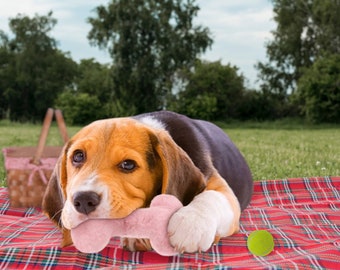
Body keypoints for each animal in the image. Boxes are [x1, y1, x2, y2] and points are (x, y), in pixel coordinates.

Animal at [41, 109, 252, 253]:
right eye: (77, 156)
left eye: (128, 164)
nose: (84, 200)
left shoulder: (221, 188)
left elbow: (211, 197)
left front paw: (190, 225)